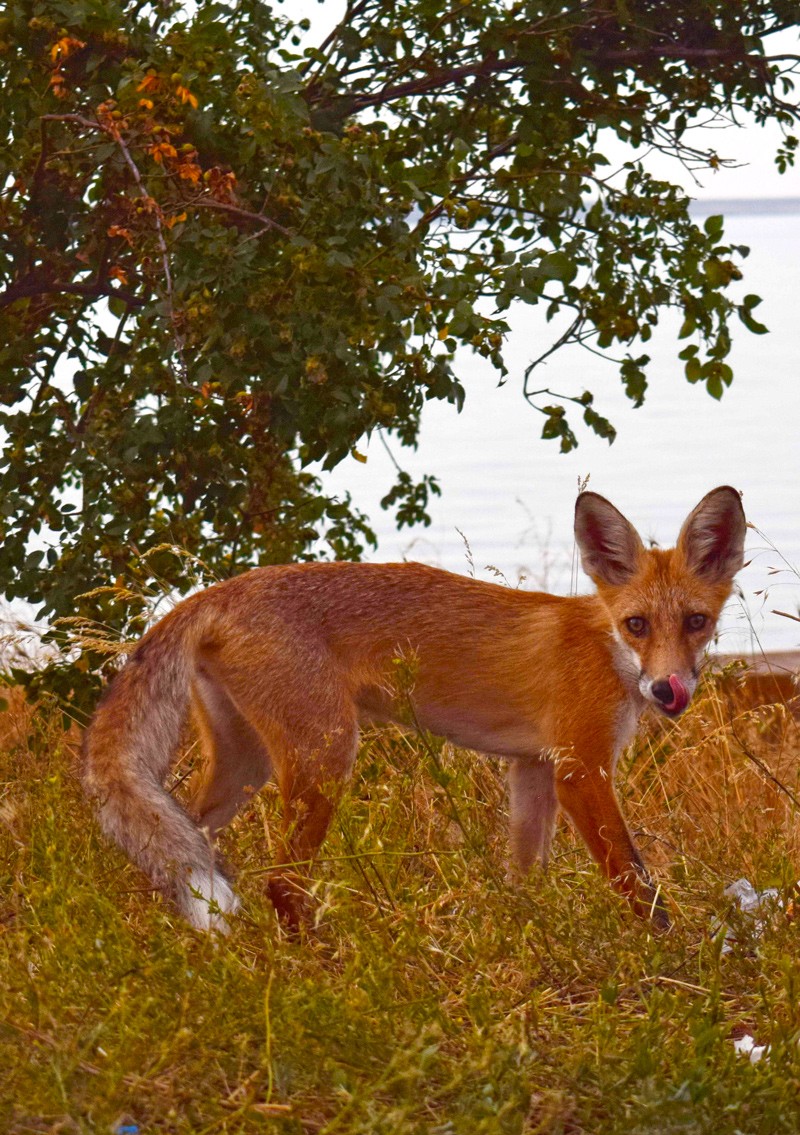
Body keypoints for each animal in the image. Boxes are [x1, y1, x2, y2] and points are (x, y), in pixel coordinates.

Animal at [81, 483, 744, 935]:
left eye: (696, 622)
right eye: (637, 625)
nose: (668, 690)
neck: (604, 649)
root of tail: (219, 590)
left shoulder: (532, 769)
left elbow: (524, 877)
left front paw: (527, 936)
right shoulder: (580, 769)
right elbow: (637, 880)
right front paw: (670, 953)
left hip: (246, 767)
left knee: (175, 858)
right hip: (325, 757)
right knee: (280, 884)